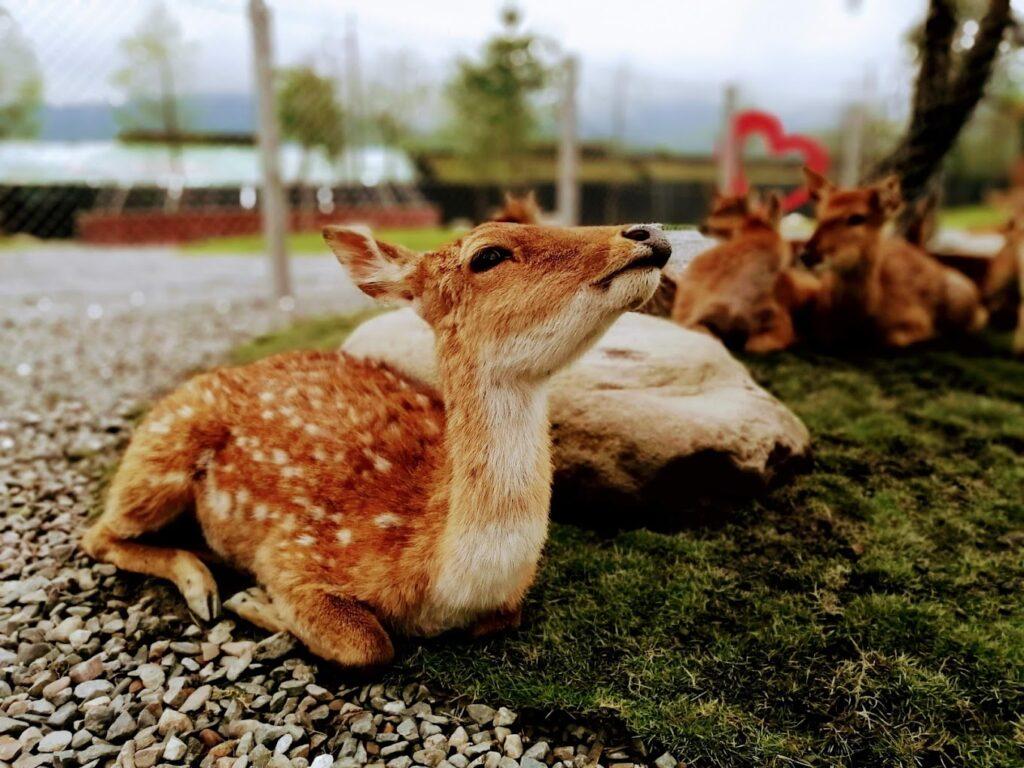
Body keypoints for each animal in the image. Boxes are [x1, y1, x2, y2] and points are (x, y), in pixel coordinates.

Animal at [81, 222, 671, 667]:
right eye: (488, 255)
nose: (647, 233)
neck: (436, 580)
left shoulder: (506, 603)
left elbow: (504, 617)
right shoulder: (293, 549)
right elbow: (368, 643)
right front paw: (253, 600)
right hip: (161, 450)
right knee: (98, 534)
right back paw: (204, 587)